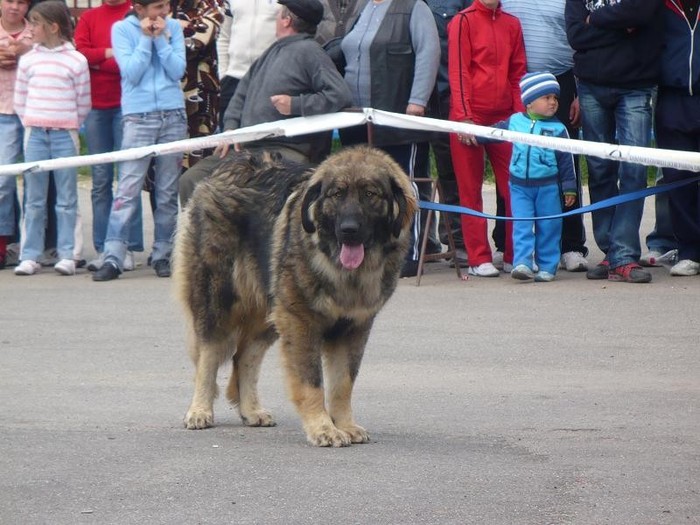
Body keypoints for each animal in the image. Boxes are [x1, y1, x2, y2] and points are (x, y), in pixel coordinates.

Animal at [174, 145, 416, 444]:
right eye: (336, 194)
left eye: (370, 194)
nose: (348, 230)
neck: (341, 269)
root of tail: (227, 166)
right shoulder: (301, 322)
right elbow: (312, 382)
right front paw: (323, 428)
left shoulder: (354, 328)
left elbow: (343, 384)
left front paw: (345, 425)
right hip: (218, 299)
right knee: (208, 356)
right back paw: (200, 410)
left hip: (270, 311)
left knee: (245, 357)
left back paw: (251, 410)